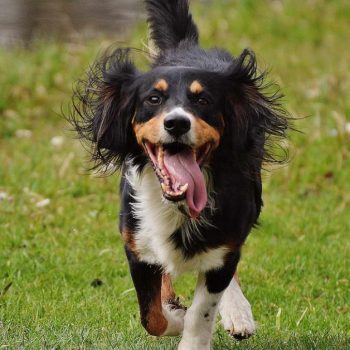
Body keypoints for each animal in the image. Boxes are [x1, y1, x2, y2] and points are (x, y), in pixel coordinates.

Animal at [67, 0, 288, 350]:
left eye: (203, 100)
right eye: (153, 99)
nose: (177, 123)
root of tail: (186, 48)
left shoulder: (225, 243)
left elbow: (203, 308)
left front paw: (195, 329)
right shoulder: (137, 245)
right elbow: (152, 315)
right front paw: (176, 316)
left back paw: (238, 313)